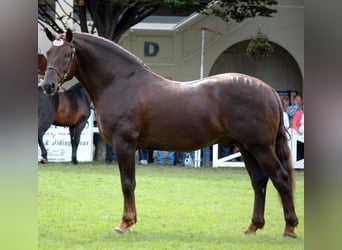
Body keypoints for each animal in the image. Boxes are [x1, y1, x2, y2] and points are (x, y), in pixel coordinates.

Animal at [41, 28, 298, 237]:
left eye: (67, 54)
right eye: (48, 54)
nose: (48, 86)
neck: (119, 82)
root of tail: (269, 91)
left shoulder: (125, 145)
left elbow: (127, 183)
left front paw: (125, 223)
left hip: (260, 147)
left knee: (280, 178)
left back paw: (289, 228)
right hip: (246, 148)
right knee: (259, 182)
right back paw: (253, 226)